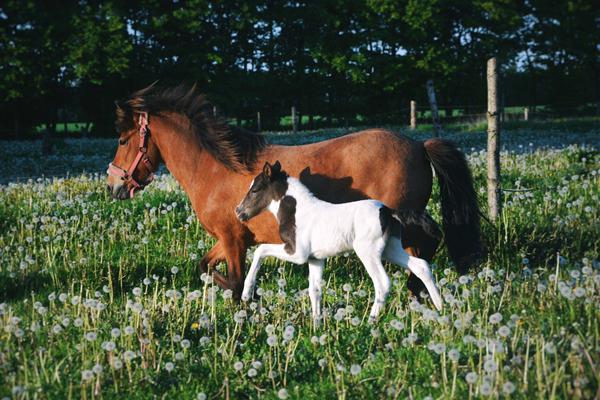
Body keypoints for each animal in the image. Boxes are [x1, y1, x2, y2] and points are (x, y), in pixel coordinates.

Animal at [108, 83, 482, 296]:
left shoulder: (233, 241)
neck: (215, 168)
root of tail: (419, 145)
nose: (114, 186)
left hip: (400, 222)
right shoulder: (231, 239)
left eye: (123, 140)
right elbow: (206, 267)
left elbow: (235, 282)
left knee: (426, 247)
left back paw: (416, 292)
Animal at [237, 161, 442, 320]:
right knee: (421, 266)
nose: (238, 212)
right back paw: (441, 308)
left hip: (368, 252)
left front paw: (246, 293)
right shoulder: (315, 259)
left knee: (383, 283)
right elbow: (314, 290)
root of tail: (388, 211)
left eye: (255, 190)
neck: (298, 211)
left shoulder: (297, 253)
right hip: (391, 249)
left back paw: (371, 320)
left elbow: (260, 250)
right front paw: (316, 324)